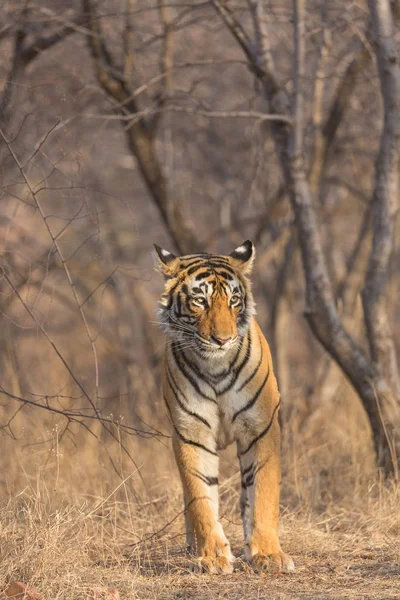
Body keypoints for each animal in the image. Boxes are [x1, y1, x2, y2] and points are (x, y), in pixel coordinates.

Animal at [154, 237, 294, 576]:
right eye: (199, 301)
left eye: (234, 300)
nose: (223, 340)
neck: (215, 366)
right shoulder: (191, 432)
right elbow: (200, 497)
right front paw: (213, 556)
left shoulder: (261, 427)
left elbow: (263, 492)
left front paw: (268, 554)